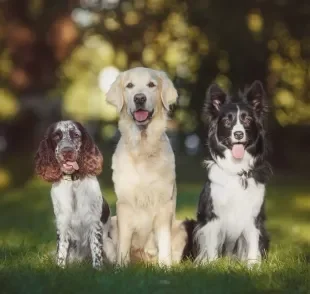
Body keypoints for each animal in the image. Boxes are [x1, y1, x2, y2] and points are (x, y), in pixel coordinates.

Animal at [34, 119, 115, 268]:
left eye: (76, 135)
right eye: (56, 136)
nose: (67, 151)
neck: (73, 183)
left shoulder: (94, 222)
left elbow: (96, 250)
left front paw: (98, 269)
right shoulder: (62, 223)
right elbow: (61, 251)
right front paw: (60, 268)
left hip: (108, 244)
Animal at [106, 67, 193, 266]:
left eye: (151, 85)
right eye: (129, 85)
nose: (139, 98)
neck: (143, 149)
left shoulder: (164, 204)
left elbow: (164, 241)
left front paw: (165, 266)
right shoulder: (124, 204)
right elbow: (123, 242)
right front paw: (120, 267)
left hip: (181, 227)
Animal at [194, 80, 272, 266]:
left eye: (247, 119)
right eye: (227, 121)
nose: (238, 134)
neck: (237, 170)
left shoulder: (254, 218)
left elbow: (253, 245)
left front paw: (253, 267)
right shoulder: (212, 217)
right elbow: (212, 246)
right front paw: (211, 266)